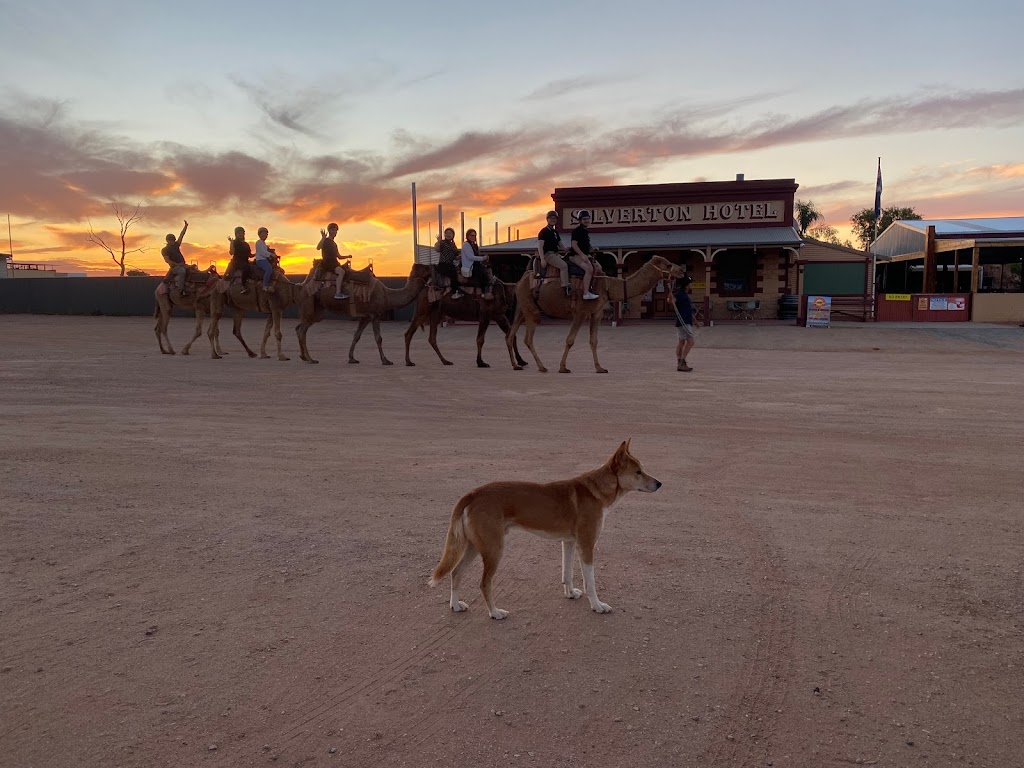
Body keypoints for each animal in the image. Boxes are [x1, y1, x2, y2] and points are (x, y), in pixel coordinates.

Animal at [294, 264, 430, 364]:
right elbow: (378, 338)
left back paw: (303, 357)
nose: (432, 266)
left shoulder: (366, 317)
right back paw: (311, 359)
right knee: (302, 330)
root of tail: (303, 284)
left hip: (317, 310)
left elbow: (356, 336)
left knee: (299, 327)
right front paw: (385, 360)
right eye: (425, 268)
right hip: (310, 303)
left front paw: (352, 358)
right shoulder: (375, 315)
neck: (387, 295)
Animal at [425, 438, 659, 618]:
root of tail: (473, 493)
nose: (660, 484)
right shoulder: (587, 545)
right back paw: (495, 613)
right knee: (483, 583)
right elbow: (590, 582)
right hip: (493, 550)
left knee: (455, 573)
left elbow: (567, 573)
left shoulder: (570, 542)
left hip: (474, 546)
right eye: (638, 472)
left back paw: (456, 605)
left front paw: (570, 593)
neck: (596, 491)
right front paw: (597, 606)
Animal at [505, 256, 684, 376]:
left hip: (522, 308)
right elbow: (570, 340)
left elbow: (594, 340)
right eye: (668, 264)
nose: (682, 270)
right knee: (527, 338)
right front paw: (563, 367)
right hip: (531, 310)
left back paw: (516, 365)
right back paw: (541, 366)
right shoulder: (581, 312)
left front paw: (600, 368)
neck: (607, 286)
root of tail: (520, 280)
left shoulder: (596, 313)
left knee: (510, 334)